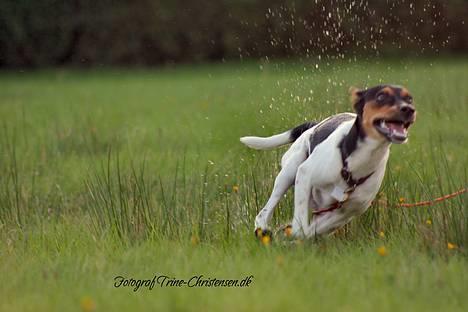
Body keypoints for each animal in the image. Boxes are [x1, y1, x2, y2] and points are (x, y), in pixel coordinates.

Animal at [241, 85, 416, 239]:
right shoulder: (304, 175)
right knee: (264, 212)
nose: (408, 109)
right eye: (381, 96)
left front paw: (290, 233)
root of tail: (314, 125)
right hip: (289, 173)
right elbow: (301, 224)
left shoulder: (346, 211)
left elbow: (311, 230)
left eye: (409, 98)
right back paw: (262, 229)